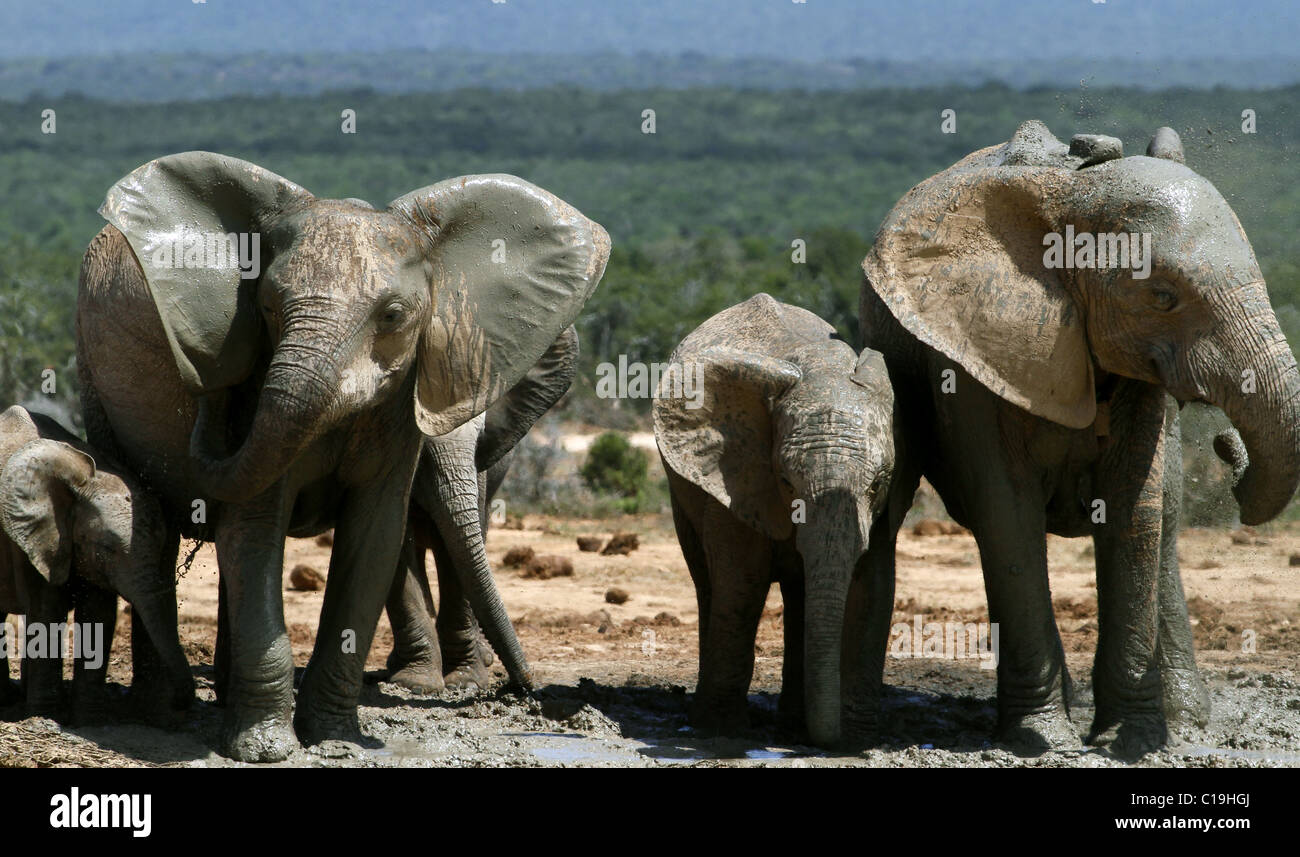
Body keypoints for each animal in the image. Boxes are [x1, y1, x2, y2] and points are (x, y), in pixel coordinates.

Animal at [0, 405, 193, 720]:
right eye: (107, 548)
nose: (179, 703)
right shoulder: (29, 540)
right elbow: (47, 610)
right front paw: (45, 715)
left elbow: (99, 614)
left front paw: (89, 719)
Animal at [383, 326, 578, 694]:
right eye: (418, 451)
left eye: (478, 443)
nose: (527, 685)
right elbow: (395, 546)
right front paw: (417, 683)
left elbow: (454, 551)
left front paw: (465, 681)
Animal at [654, 294, 901, 747]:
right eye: (786, 480)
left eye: (877, 483)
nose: (830, 741)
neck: (822, 364)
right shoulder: (735, 475)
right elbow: (743, 579)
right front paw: (723, 731)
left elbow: (868, 581)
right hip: (680, 493)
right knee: (707, 579)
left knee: (798, 592)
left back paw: (790, 725)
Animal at [857, 120, 1300, 756]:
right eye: (1161, 296)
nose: (1224, 443)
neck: (1075, 194)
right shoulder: (972, 353)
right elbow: (1006, 512)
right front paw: (1043, 740)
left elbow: (1134, 507)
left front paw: (1132, 739)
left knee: (1165, 521)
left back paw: (1187, 721)